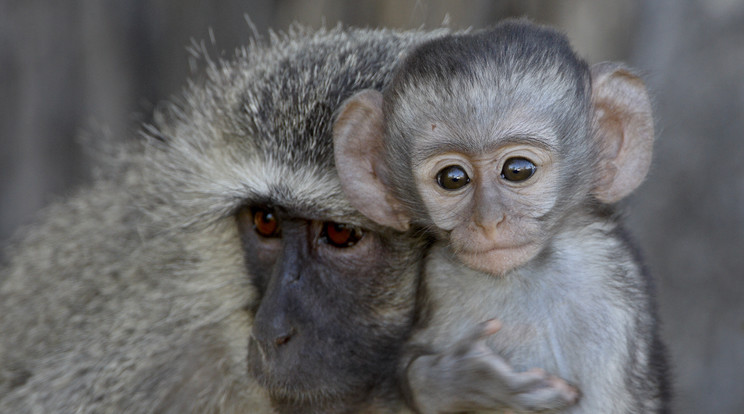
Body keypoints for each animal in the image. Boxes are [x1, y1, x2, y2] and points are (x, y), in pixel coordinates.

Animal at [334, 20, 664, 414]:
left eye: (518, 170)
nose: (488, 221)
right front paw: (466, 381)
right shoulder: (438, 277)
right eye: (453, 178)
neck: (518, 277)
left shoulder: (608, 292)